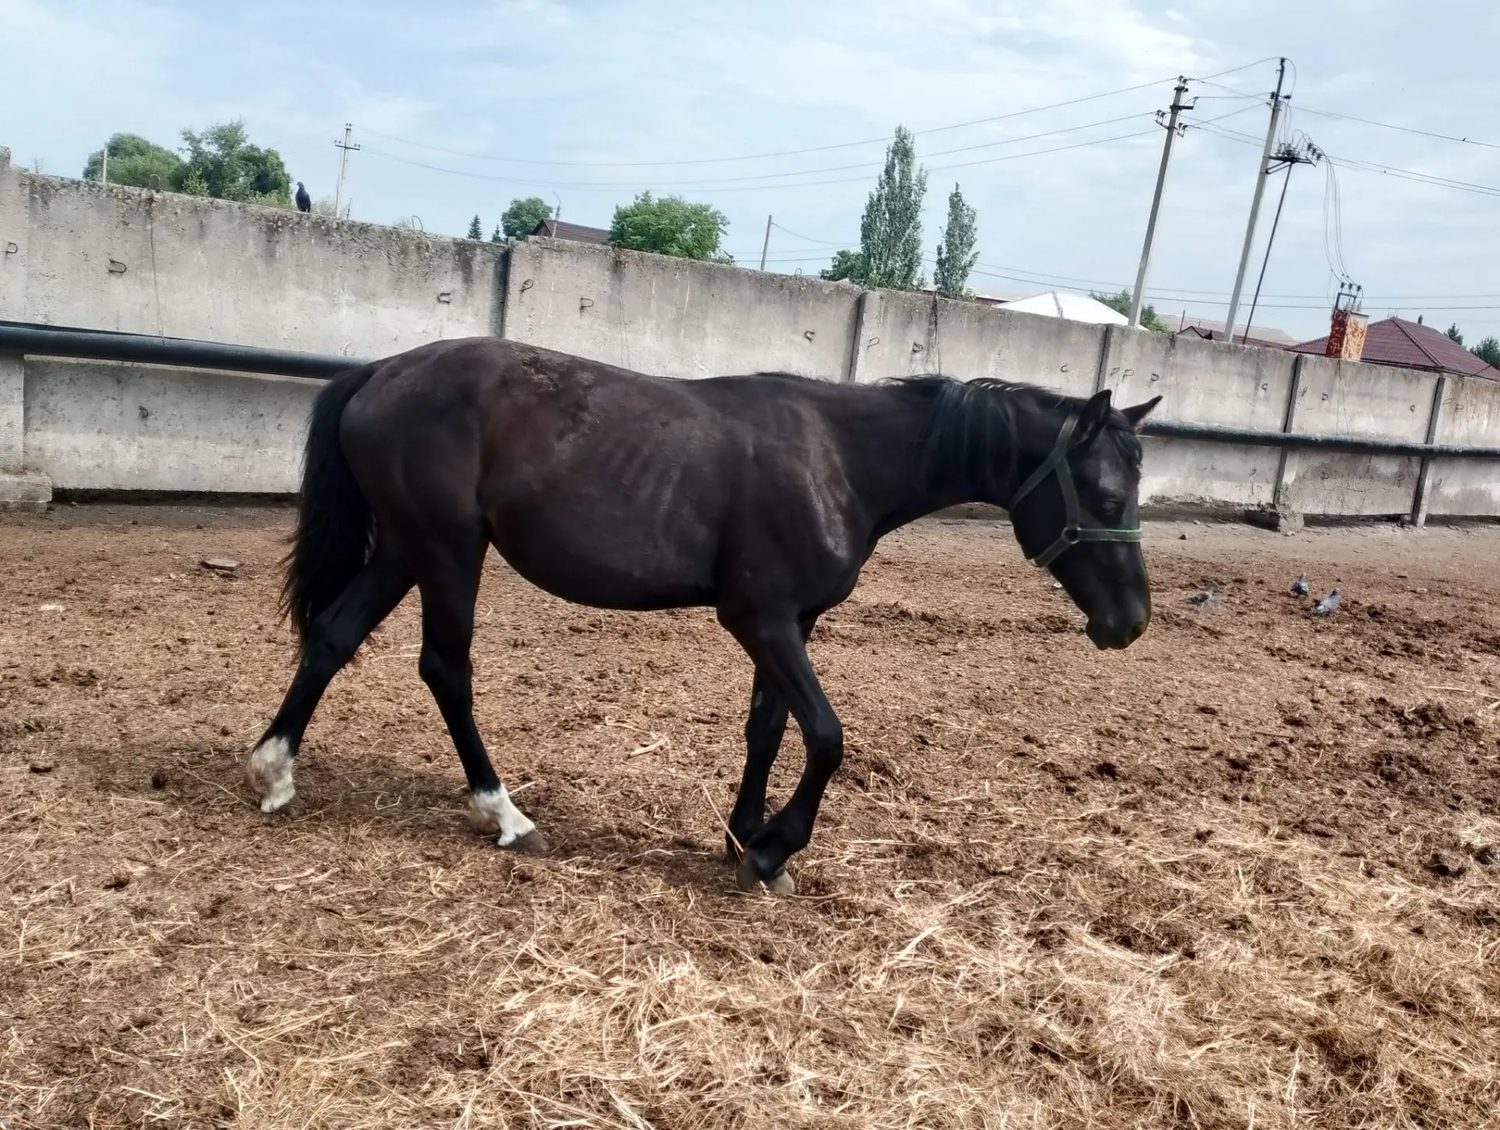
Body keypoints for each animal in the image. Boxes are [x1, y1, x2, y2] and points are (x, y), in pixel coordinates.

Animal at [244, 336, 1160, 894]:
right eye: (1104, 493)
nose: (1131, 622)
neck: (838, 460)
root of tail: (380, 372)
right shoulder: (760, 619)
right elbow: (826, 735)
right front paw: (775, 846)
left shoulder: (790, 622)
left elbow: (769, 728)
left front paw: (744, 836)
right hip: (445, 552)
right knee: (446, 669)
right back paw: (503, 813)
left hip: (406, 549)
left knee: (332, 637)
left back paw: (276, 770)